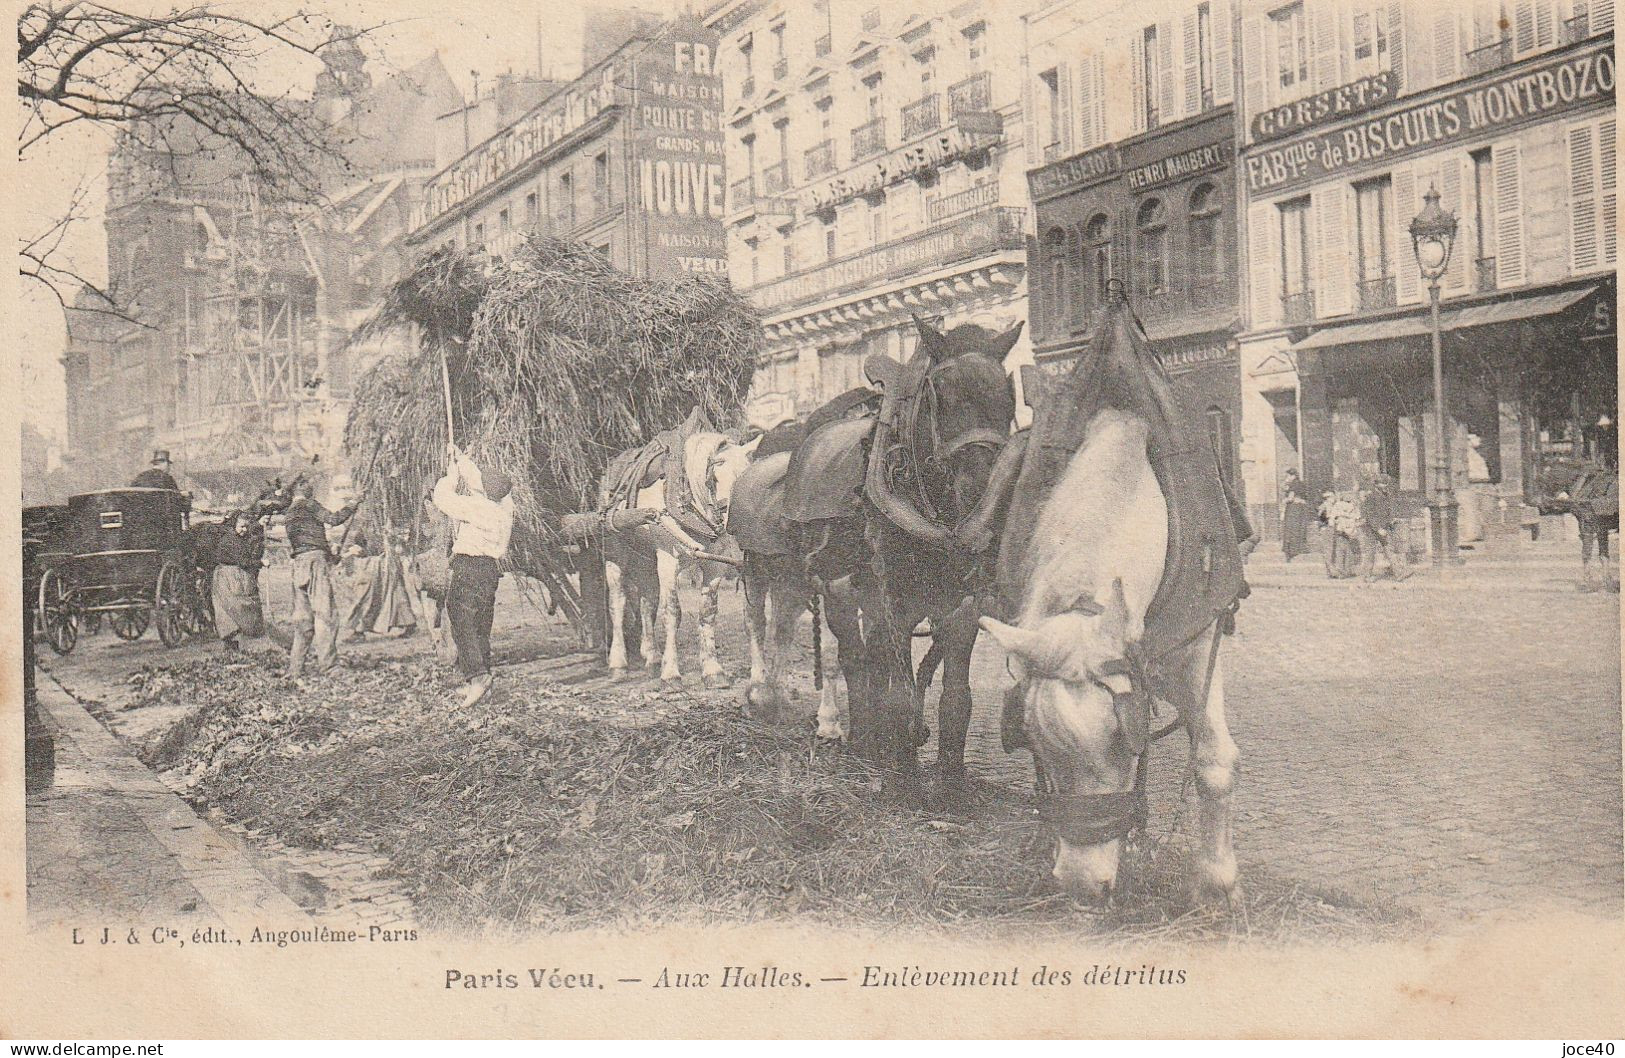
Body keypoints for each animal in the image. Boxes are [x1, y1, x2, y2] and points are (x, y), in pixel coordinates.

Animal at [601, 429, 757, 685]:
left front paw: (713, 670)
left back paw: (653, 658)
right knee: (618, 604)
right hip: (615, 556)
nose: (734, 525)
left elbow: (708, 612)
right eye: (713, 479)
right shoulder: (667, 561)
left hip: (645, 560)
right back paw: (618, 665)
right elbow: (672, 613)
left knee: (646, 604)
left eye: (745, 476)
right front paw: (671, 673)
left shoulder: (715, 565)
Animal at [975, 302, 1241, 903]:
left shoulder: (1200, 641)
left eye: (1125, 738)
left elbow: (1213, 759)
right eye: (1031, 739)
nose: (1081, 886)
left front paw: (1218, 879)